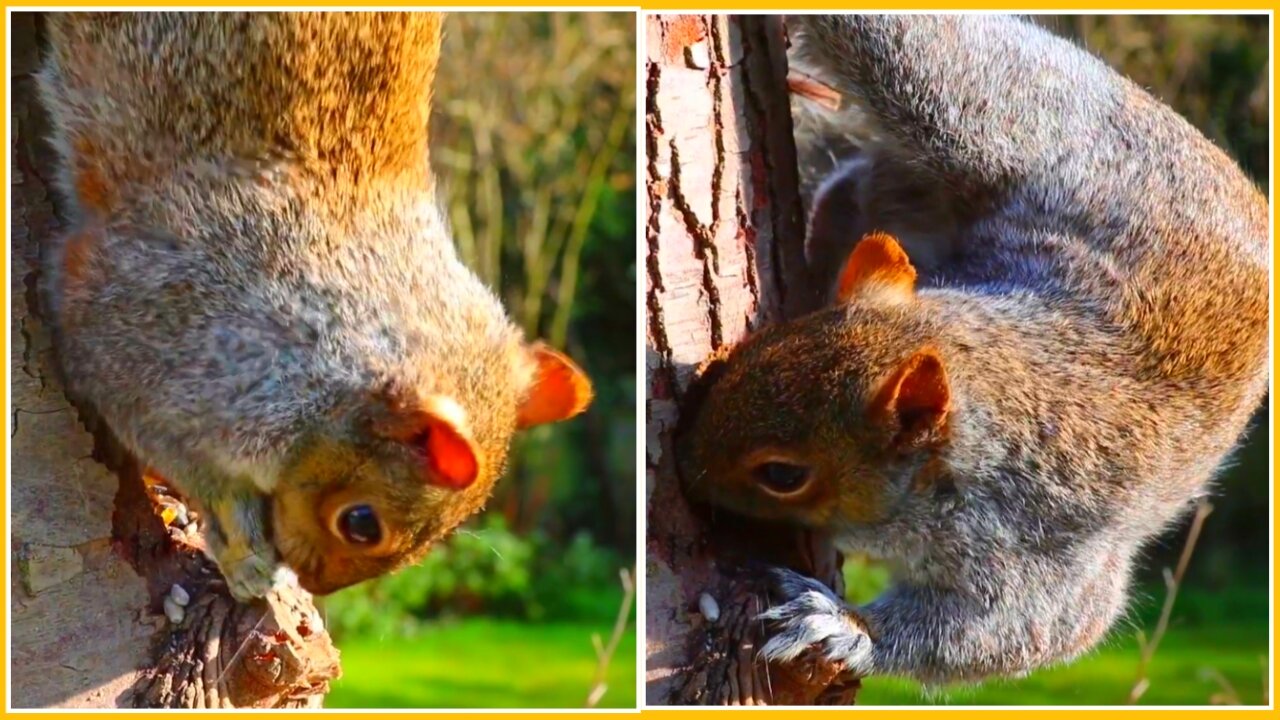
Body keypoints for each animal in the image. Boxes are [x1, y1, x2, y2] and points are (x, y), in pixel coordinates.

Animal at [680, 14, 1269, 681]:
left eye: (783, 475)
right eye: (756, 350)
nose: (685, 470)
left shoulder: (1036, 548)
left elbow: (1018, 632)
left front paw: (841, 627)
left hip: (986, 115)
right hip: (973, 125)